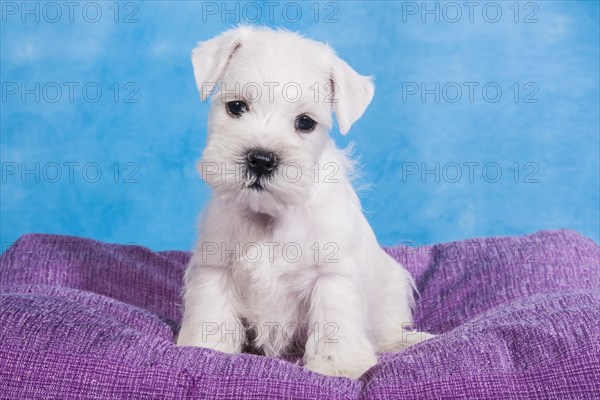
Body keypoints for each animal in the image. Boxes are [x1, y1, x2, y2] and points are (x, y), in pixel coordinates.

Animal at [177, 25, 432, 378]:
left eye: (305, 122)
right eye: (236, 106)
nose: (261, 159)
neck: (270, 215)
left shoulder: (331, 276)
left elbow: (334, 323)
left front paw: (338, 365)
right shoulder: (216, 267)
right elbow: (212, 315)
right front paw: (205, 349)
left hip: (392, 290)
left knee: (389, 330)